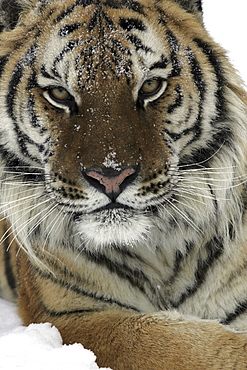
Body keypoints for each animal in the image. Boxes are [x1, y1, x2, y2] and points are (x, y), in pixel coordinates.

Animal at [0, 0, 247, 368]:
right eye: (59, 93)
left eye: (150, 87)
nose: (111, 176)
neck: (159, 254)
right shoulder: (70, 316)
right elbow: (181, 343)